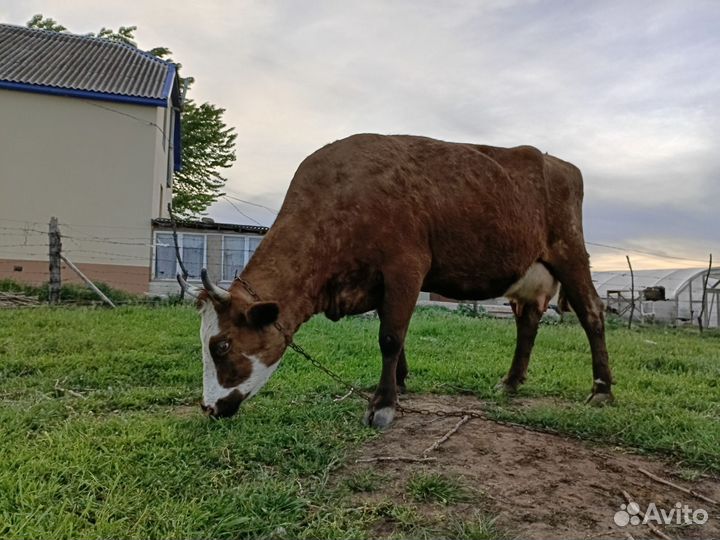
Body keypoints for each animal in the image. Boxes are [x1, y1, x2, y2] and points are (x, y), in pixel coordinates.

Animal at [178, 134, 613, 427]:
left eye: (221, 345)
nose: (209, 407)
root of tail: (558, 163)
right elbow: (397, 337)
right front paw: (399, 385)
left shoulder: (406, 266)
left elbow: (389, 337)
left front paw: (383, 404)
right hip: (528, 275)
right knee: (528, 322)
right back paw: (510, 383)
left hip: (570, 252)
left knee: (592, 313)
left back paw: (601, 390)